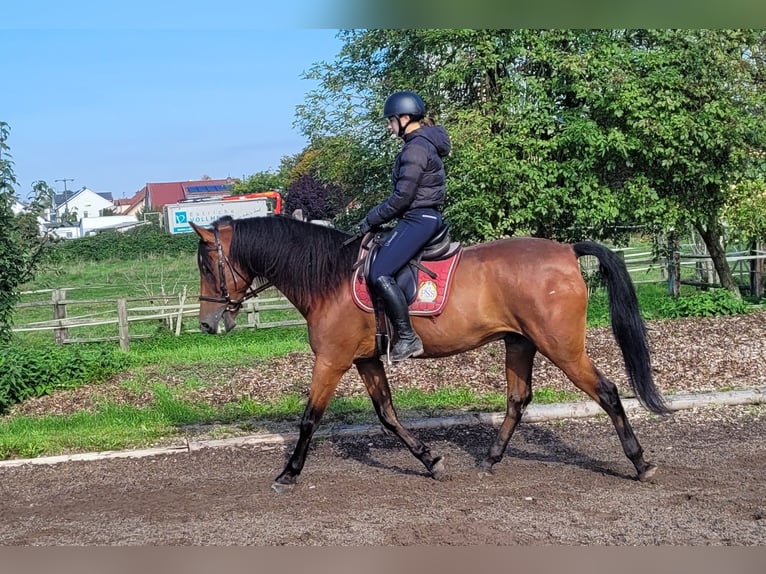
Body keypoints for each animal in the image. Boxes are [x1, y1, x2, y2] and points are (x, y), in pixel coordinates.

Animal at [192, 215, 669, 493]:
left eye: (207, 264)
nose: (208, 324)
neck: (330, 277)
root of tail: (567, 252)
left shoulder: (332, 359)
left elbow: (310, 418)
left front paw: (288, 473)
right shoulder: (366, 360)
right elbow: (387, 415)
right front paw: (431, 461)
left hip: (562, 347)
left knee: (607, 392)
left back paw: (640, 463)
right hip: (520, 343)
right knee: (517, 401)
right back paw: (490, 460)